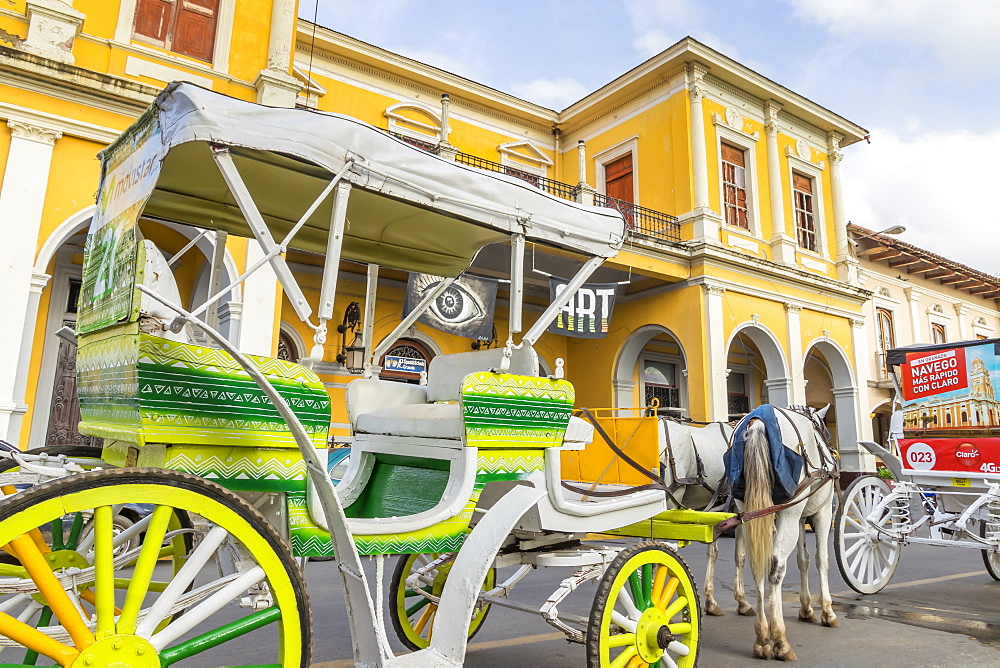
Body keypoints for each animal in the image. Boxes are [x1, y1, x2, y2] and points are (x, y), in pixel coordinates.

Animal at [660, 404, 840, 660]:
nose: (833, 452)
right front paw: (827, 611)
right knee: (774, 565)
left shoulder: (738, 513)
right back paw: (779, 640)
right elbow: (821, 559)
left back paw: (762, 638)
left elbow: (798, 559)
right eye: (826, 430)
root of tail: (758, 422)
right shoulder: (820, 511)